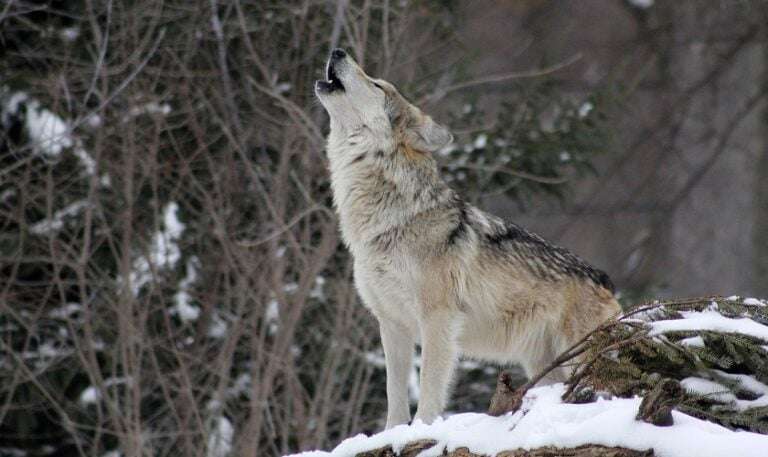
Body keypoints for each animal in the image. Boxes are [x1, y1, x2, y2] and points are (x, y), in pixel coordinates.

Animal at [315, 48, 621, 428]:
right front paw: (393, 432)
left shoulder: (437, 319)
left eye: (377, 84)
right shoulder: (392, 324)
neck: (388, 220)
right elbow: (394, 395)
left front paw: (422, 429)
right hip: (544, 366)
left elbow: (429, 387)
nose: (337, 51)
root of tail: (605, 280)